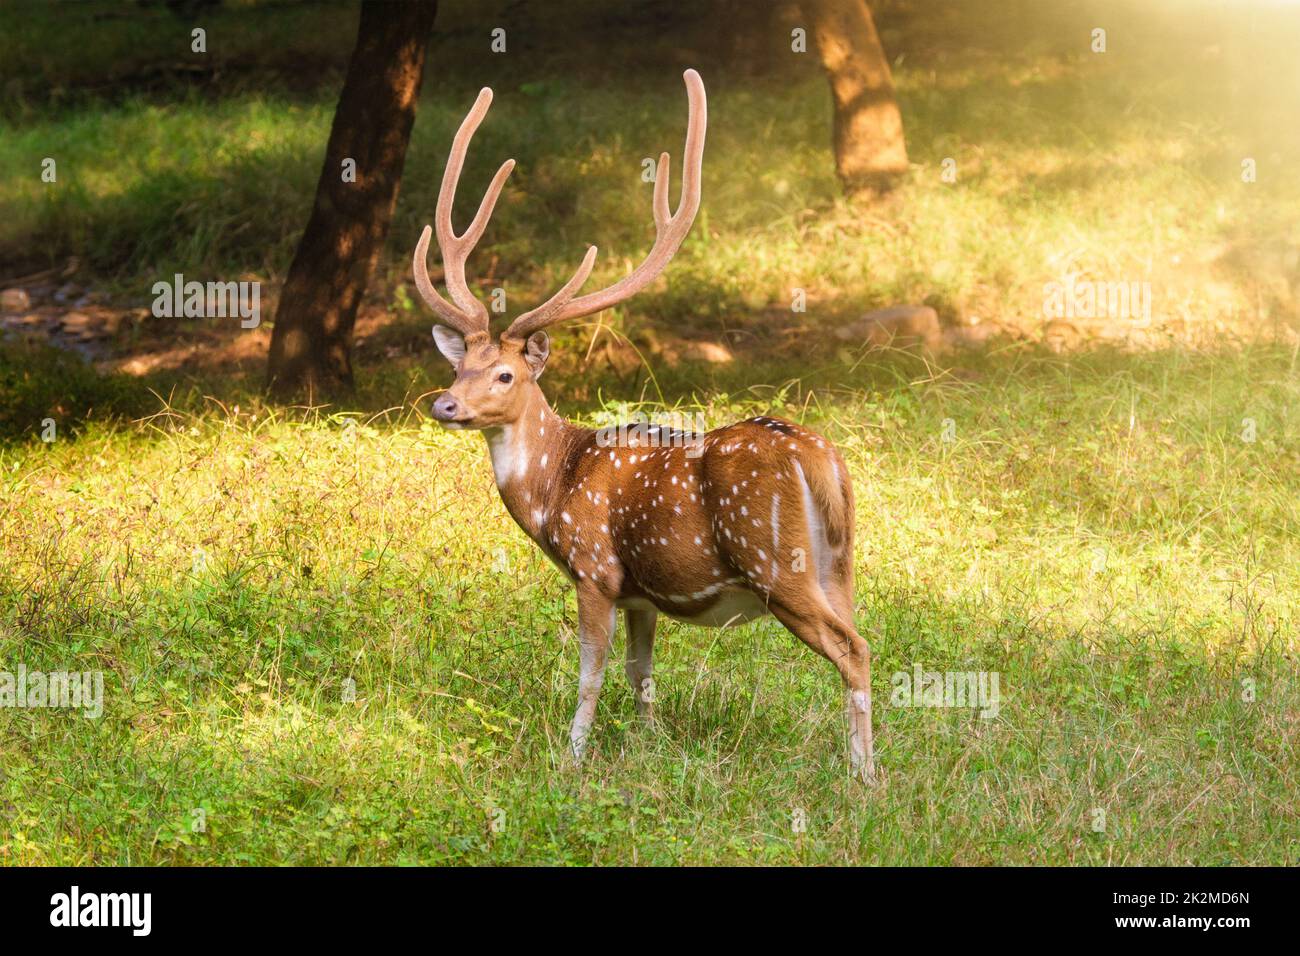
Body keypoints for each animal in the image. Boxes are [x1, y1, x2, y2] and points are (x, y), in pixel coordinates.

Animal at [421, 69, 878, 785]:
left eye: (505, 375)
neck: (553, 488)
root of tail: (819, 459)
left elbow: (589, 673)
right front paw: (650, 748)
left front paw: (573, 758)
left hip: (776, 561)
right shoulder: (641, 595)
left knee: (853, 648)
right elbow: (641, 675)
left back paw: (864, 778)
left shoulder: (596, 569)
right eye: (459, 363)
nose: (445, 404)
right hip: (840, 561)